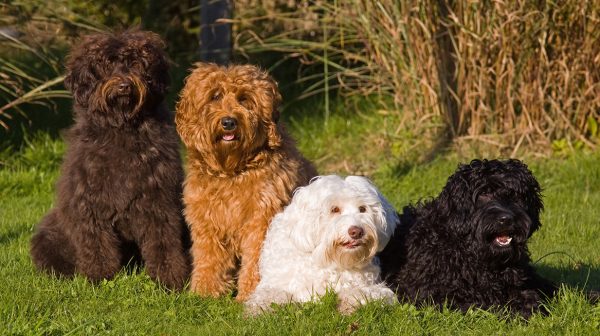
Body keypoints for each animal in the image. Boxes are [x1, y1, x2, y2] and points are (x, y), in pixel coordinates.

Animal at [30, 30, 190, 290]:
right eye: (105, 65)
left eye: (136, 63)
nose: (124, 84)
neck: (122, 128)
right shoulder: (89, 201)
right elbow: (96, 244)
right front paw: (99, 276)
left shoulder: (159, 199)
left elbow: (163, 241)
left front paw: (170, 278)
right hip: (50, 232)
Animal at [176, 63, 316, 302]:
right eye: (215, 96)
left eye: (244, 99)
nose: (229, 122)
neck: (232, 172)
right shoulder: (206, 221)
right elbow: (208, 258)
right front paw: (204, 292)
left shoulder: (262, 219)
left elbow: (256, 260)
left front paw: (251, 294)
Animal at [246, 175, 400, 314]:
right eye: (335, 209)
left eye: (363, 209)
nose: (356, 231)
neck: (328, 260)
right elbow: (270, 295)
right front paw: (261, 308)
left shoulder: (372, 286)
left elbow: (366, 293)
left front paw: (351, 301)